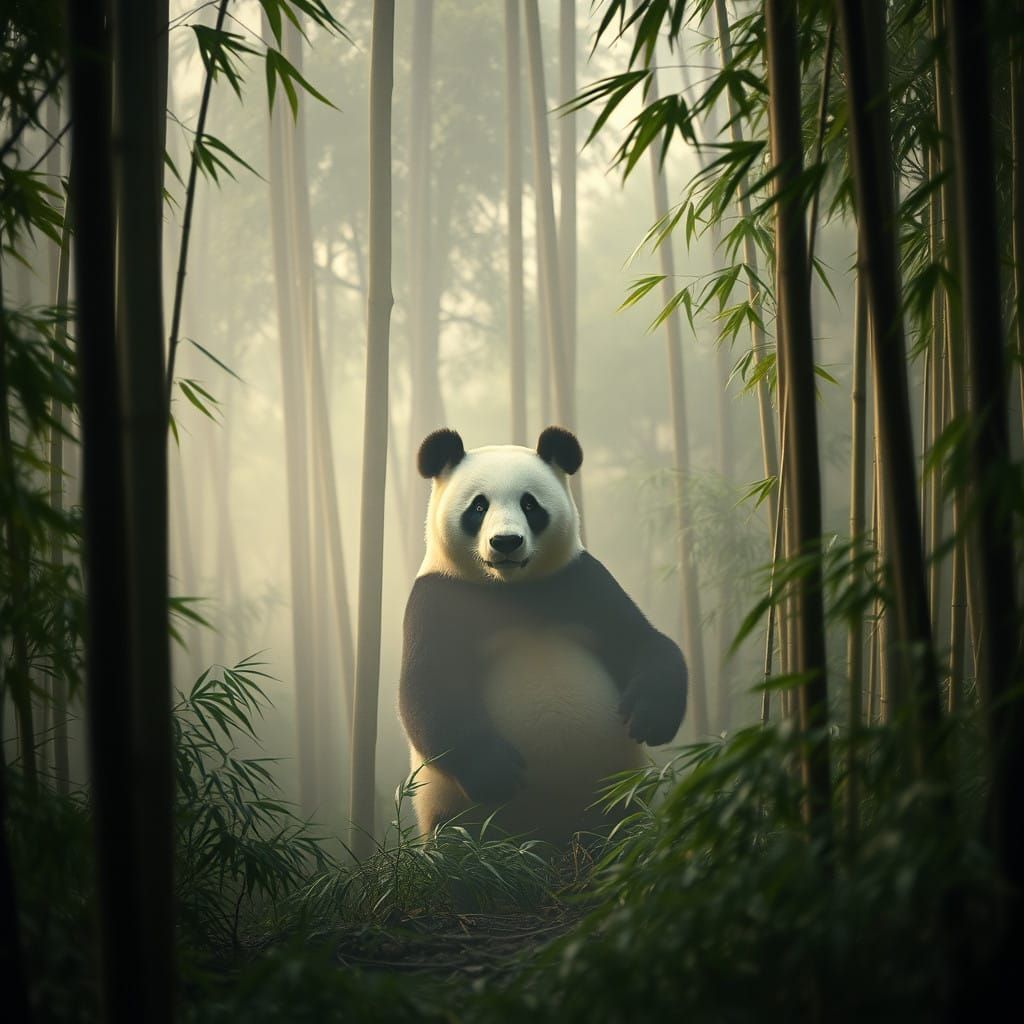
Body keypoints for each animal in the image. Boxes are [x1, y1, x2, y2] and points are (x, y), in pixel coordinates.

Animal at [399, 425, 688, 845]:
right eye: (478, 507)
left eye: (530, 505)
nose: (506, 542)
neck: (513, 589)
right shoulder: (441, 598)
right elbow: (429, 690)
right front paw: (495, 774)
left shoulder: (582, 583)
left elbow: (643, 641)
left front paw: (650, 718)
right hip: (454, 817)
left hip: (616, 803)